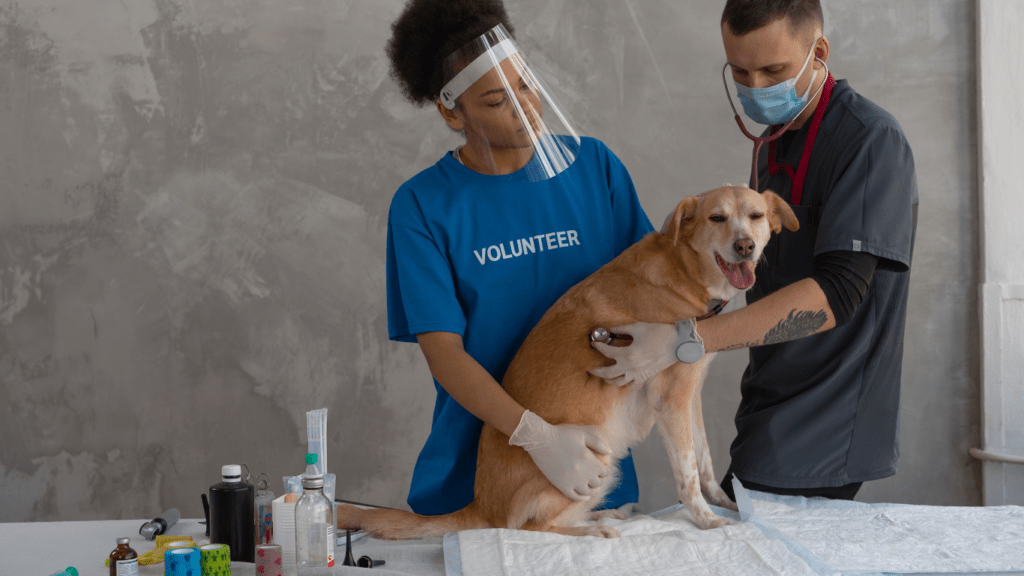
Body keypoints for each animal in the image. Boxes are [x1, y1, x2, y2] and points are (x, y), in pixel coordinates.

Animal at [342, 186, 798, 537]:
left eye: (756, 216)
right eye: (717, 218)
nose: (745, 246)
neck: (683, 271)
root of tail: (481, 507)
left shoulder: (689, 398)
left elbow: (703, 462)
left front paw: (727, 505)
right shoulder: (671, 403)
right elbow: (686, 476)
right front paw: (706, 521)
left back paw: (605, 513)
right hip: (593, 462)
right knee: (529, 528)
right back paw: (591, 529)